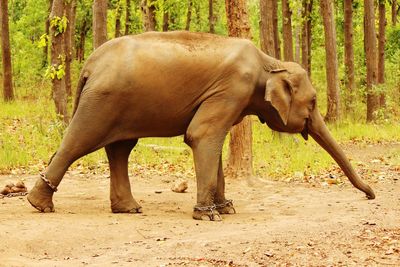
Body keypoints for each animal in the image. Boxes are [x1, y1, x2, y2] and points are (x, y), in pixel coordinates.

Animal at [28, 30, 376, 222]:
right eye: (314, 102)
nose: (371, 196)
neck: (268, 62)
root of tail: (89, 64)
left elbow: (213, 141)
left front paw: (227, 208)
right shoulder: (232, 89)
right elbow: (201, 135)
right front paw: (209, 215)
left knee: (120, 150)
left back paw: (129, 209)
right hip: (102, 101)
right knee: (79, 142)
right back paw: (39, 204)